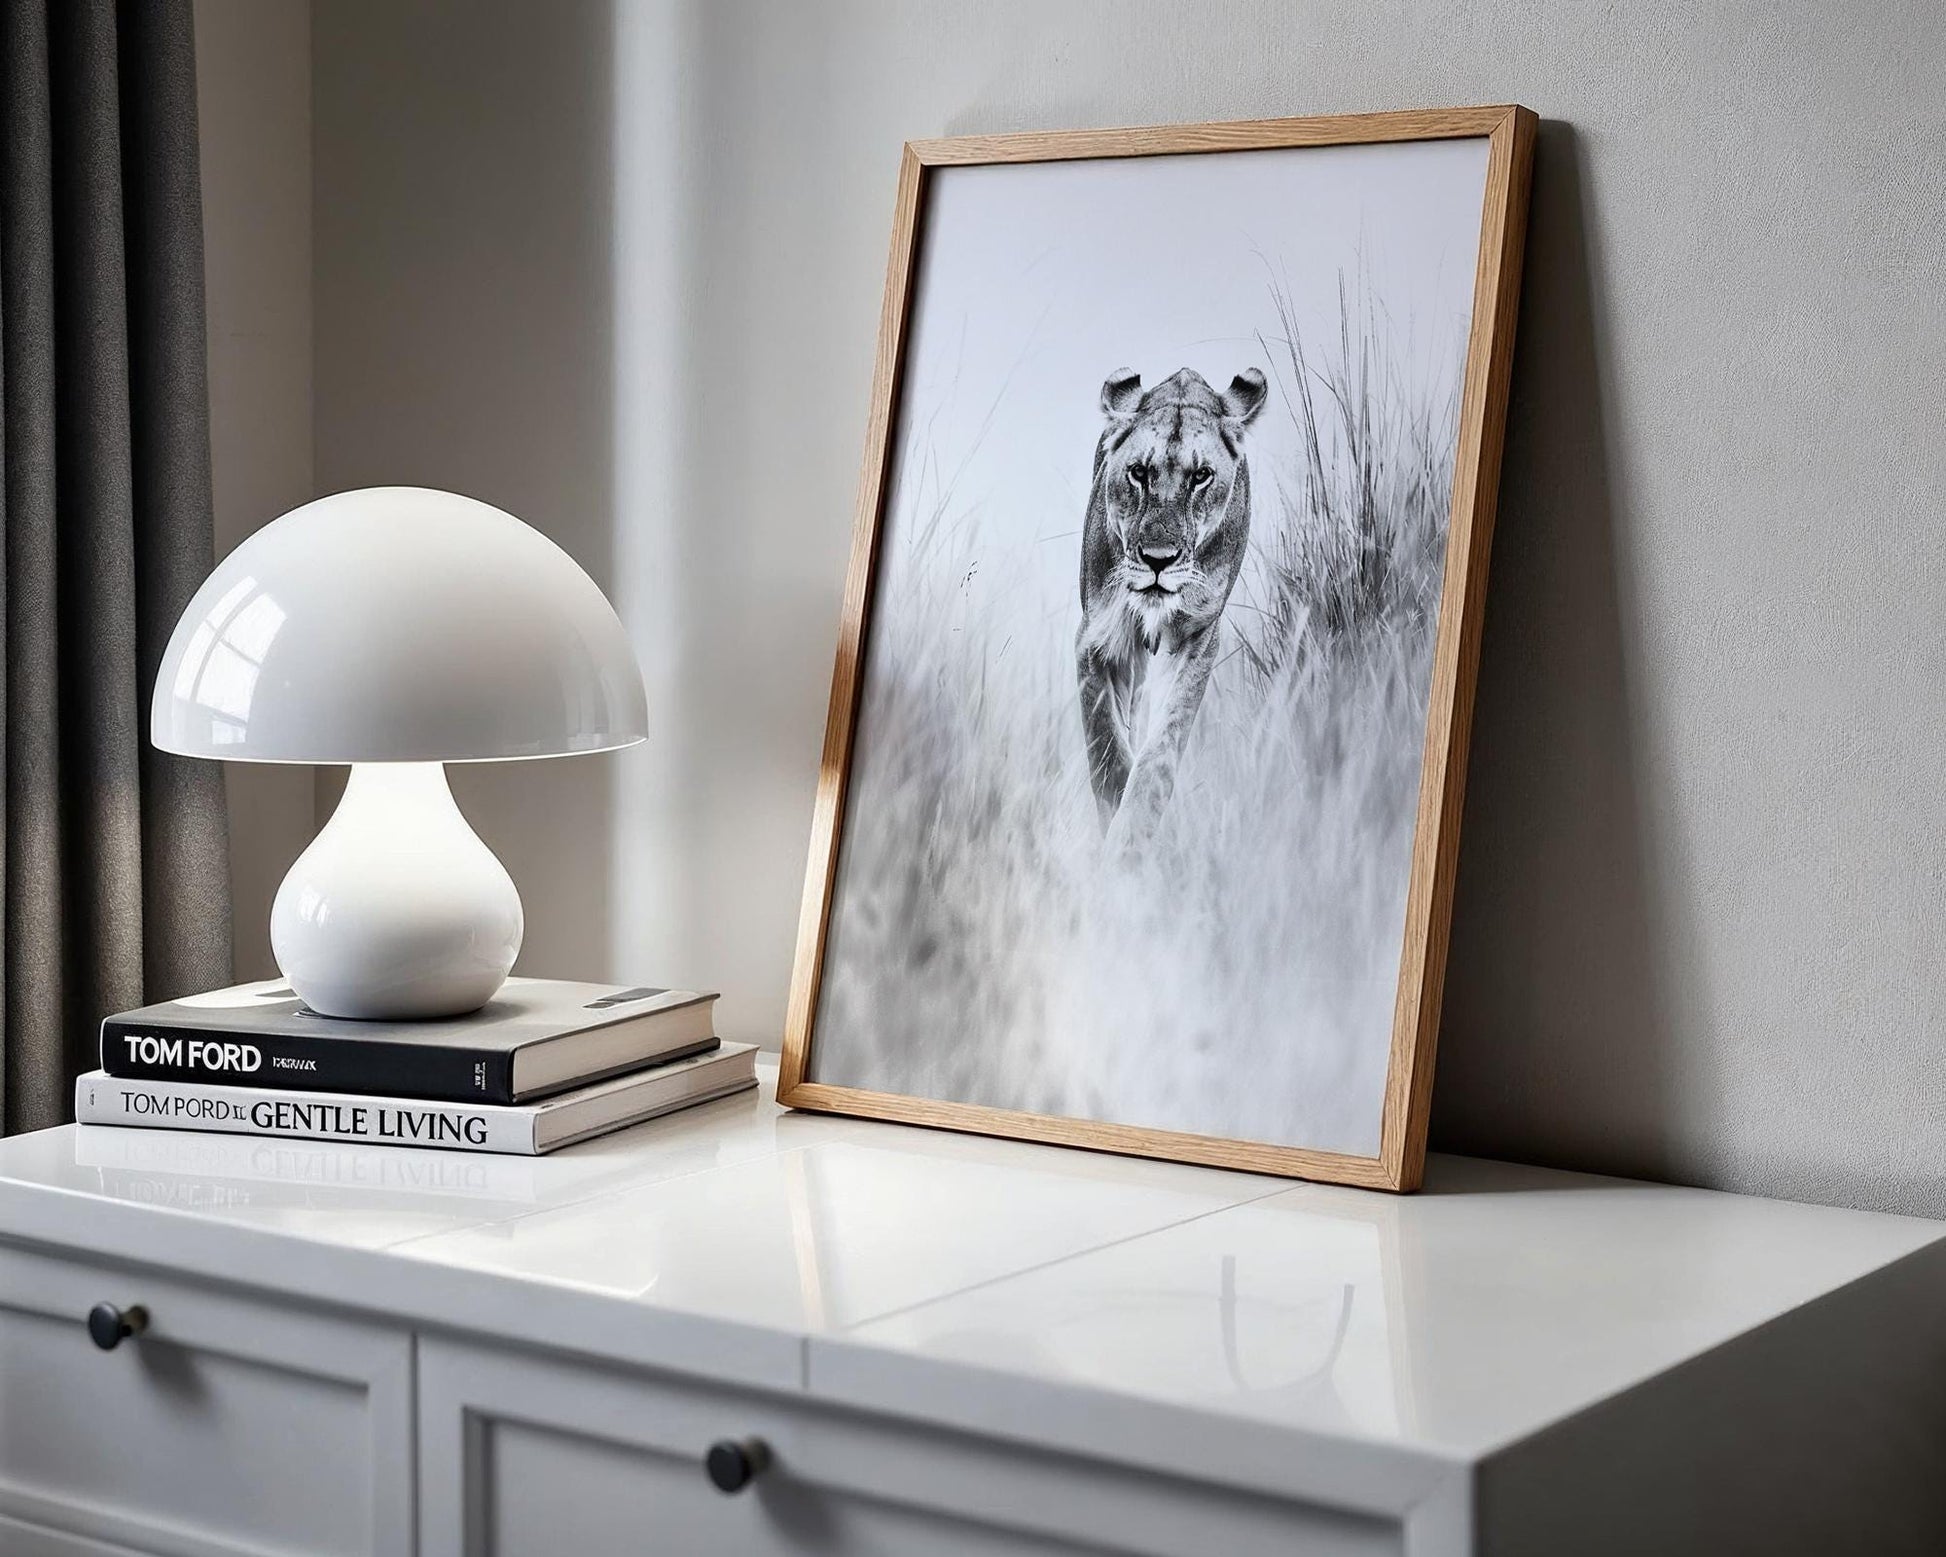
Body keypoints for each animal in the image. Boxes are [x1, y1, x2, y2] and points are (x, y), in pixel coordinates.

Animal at [1075, 364, 1268, 844]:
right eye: (1138, 473)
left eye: (1201, 476)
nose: (1158, 560)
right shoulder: (1095, 638)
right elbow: (1106, 746)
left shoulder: (1197, 638)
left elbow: (1161, 750)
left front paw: (1130, 843)